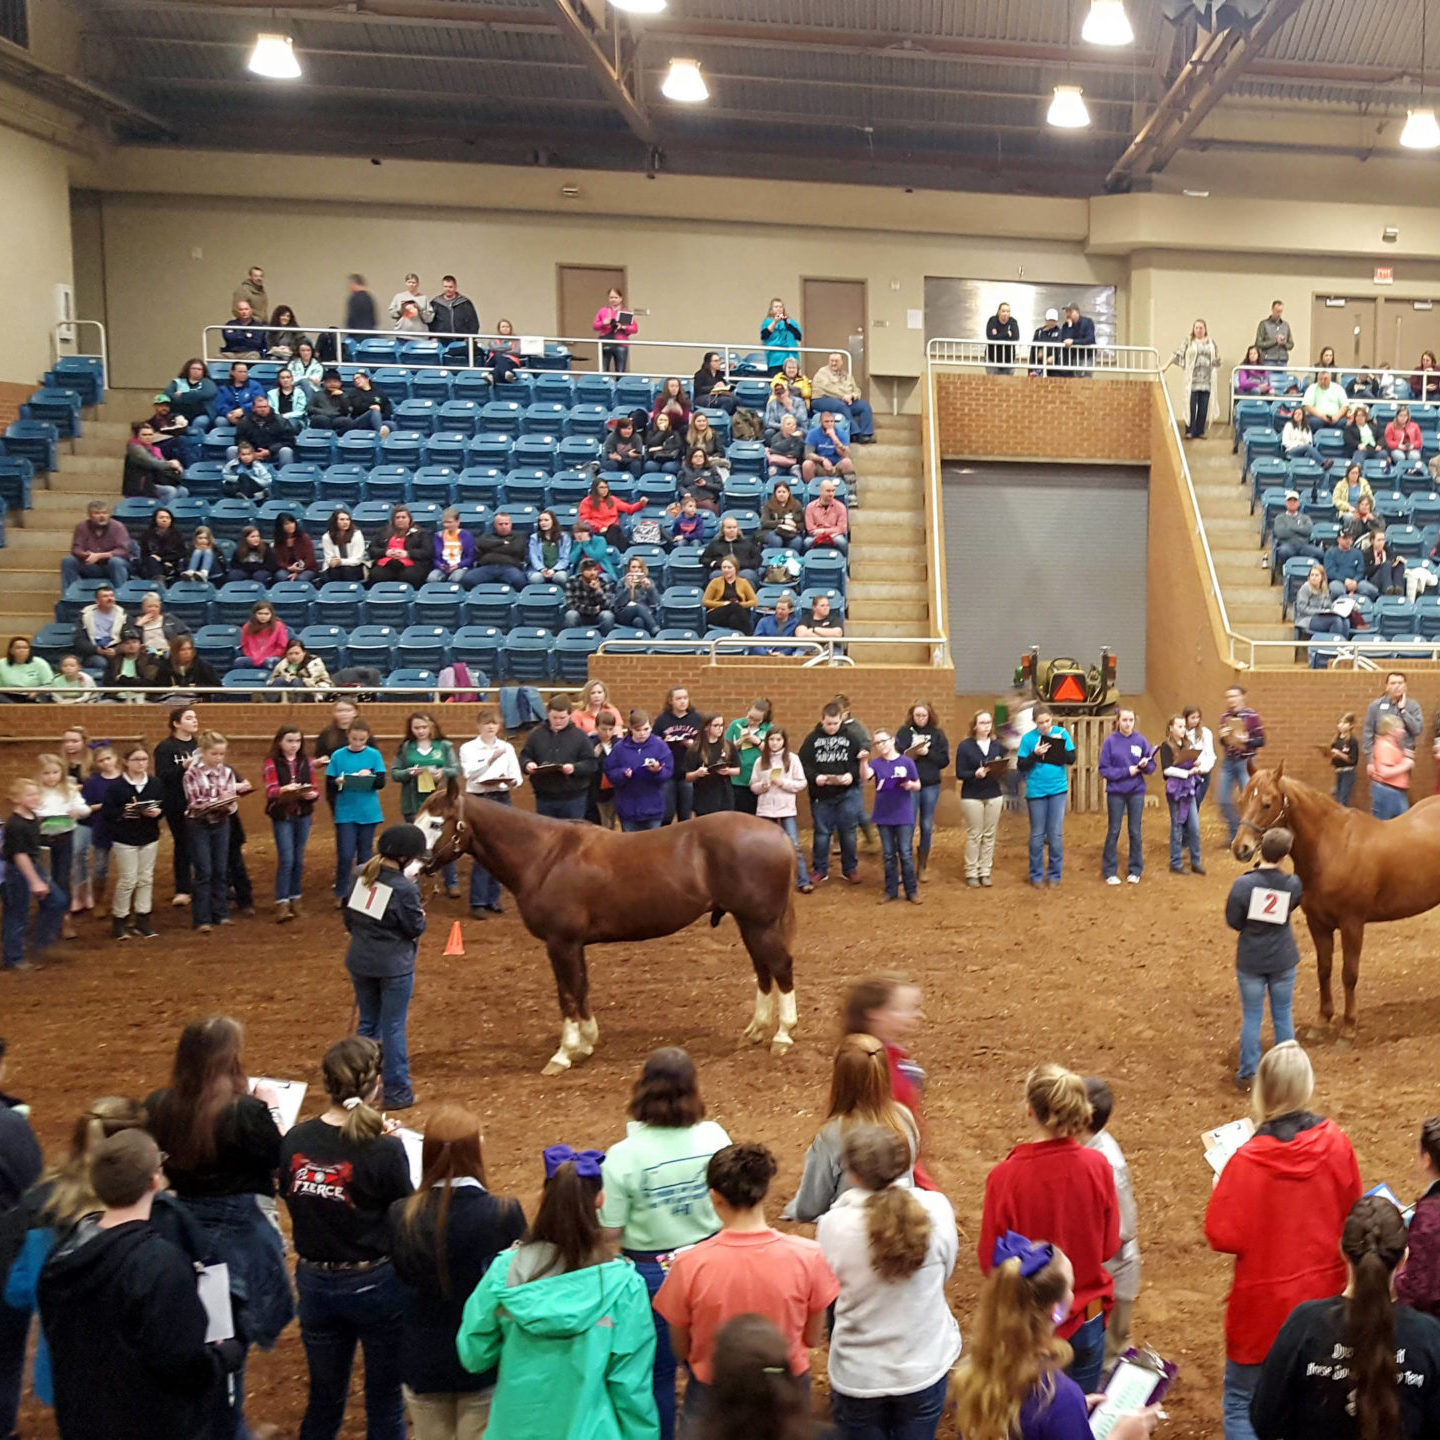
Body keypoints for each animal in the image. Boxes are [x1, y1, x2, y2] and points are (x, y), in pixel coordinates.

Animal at [414, 783, 800, 1077]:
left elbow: (567, 995)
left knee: (780, 968)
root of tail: (777, 833)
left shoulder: (561, 943)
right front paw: (586, 1043)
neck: (545, 856)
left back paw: (782, 1036)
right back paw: (754, 1031)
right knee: (763, 970)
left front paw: (563, 1054)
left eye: (435, 823)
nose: (411, 865)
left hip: (760, 923)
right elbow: (582, 989)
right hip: (749, 923)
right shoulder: (574, 945)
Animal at [1232, 766, 1440, 1036]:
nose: (1240, 848)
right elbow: (1324, 969)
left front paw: (1349, 1024)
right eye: (1242, 800)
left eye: (1267, 804)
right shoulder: (1318, 924)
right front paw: (1323, 1019)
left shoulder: (1352, 923)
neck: (1332, 846)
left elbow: (1349, 973)